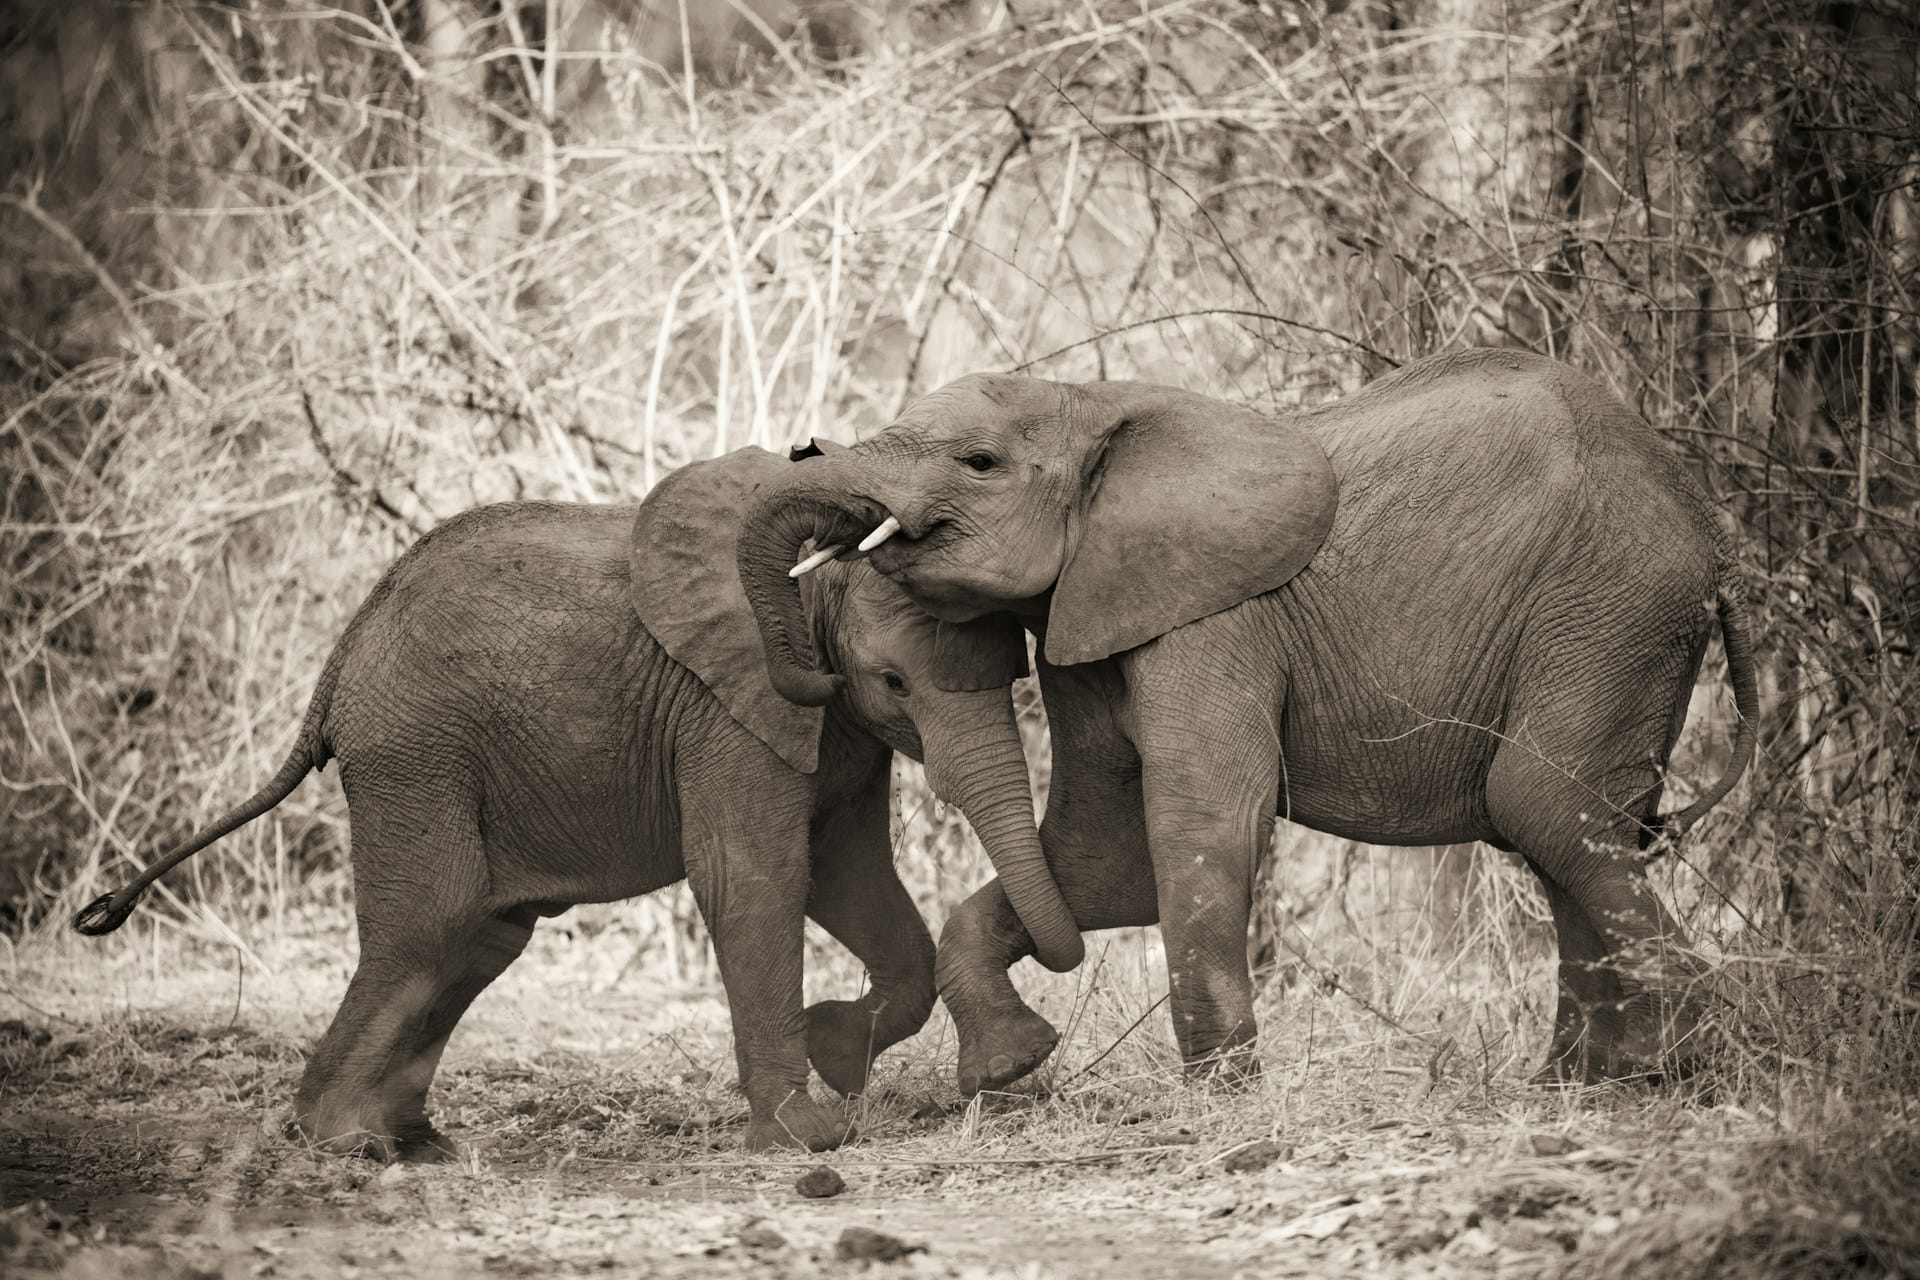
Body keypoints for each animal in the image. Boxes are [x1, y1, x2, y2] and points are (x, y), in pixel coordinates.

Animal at [73, 444, 1082, 1160]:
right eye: (892, 681)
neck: (802, 581)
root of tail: (336, 670)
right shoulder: (727, 706)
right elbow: (755, 878)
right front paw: (810, 1135)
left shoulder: (827, 731)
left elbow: (849, 875)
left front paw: (840, 1048)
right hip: (415, 754)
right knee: (432, 925)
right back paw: (347, 1144)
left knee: (481, 937)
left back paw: (415, 1144)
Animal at [733, 347, 1759, 1093]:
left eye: (977, 464)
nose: (803, 452)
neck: (1092, 401)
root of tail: (1713, 533)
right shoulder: (1093, 611)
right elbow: (1100, 858)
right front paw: (1010, 1068)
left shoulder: (1211, 616)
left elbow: (1198, 816)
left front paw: (1219, 1092)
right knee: (1563, 828)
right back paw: (1583, 1084)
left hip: (1611, 606)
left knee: (1540, 803)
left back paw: (1681, 1068)